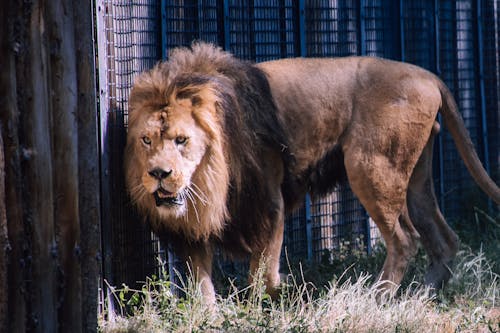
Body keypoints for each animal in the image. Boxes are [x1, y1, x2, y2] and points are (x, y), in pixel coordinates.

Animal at [123, 40, 498, 300]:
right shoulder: (196, 220)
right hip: (416, 177)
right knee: (444, 238)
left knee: (405, 239)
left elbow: (262, 272)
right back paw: (422, 293)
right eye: (146, 140)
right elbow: (201, 280)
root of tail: (428, 75)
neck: (210, 177)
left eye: (182, 140)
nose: (159, 174)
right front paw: (210, 315)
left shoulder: (269, 200)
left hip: (371, 166)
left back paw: (378, 299)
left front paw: (270, 301)